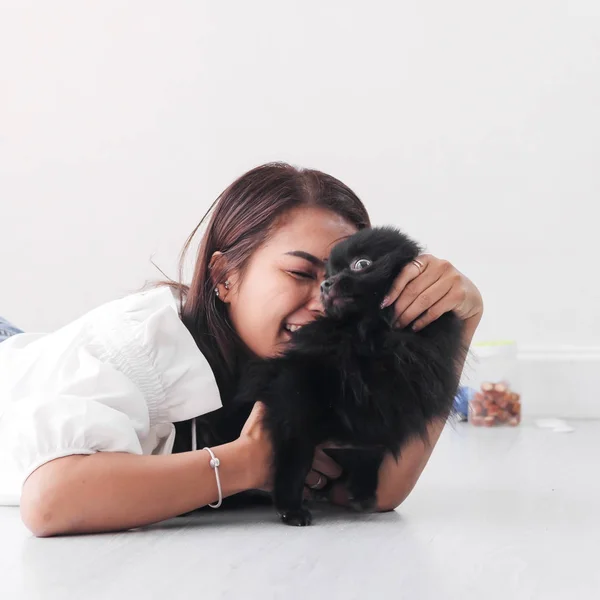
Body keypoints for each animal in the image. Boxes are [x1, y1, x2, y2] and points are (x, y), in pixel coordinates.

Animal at [227, 227, 466, 528]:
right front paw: (290, 508)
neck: (368, 339)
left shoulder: (383, 408)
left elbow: (370, 451)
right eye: (327, 274)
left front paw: (363, 493)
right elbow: (296, 459)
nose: (326, 284)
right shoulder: (294, 397)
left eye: (361, 264)